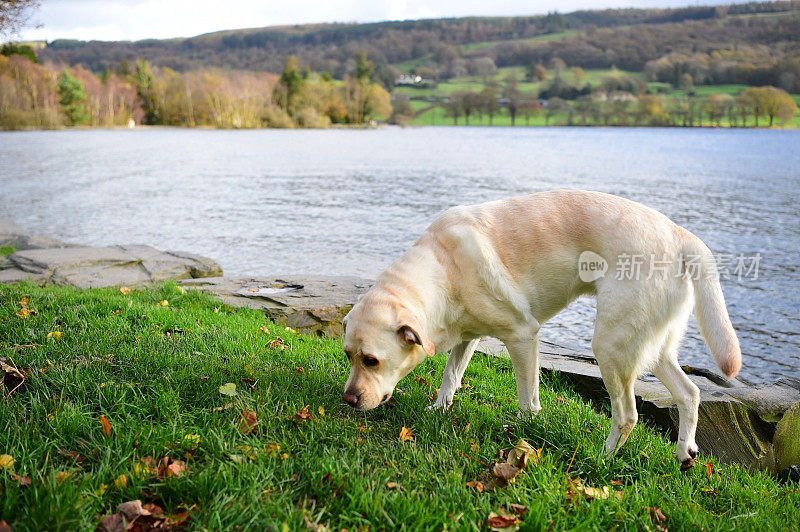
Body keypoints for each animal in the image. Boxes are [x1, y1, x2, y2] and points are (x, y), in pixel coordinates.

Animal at [340, 189, 740, 468]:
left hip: (612, 346)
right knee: (690, 393)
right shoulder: (468, 336)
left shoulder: (522, 335)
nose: (348, 399)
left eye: (372, 360)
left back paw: (602, 458)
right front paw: (438, 410)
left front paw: (521, 436)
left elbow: (527, 399)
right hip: (648, 346)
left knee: (628, 415)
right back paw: (684, 453)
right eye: (348, 356)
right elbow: (450, 376)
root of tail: (680, 233)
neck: (443, 267)